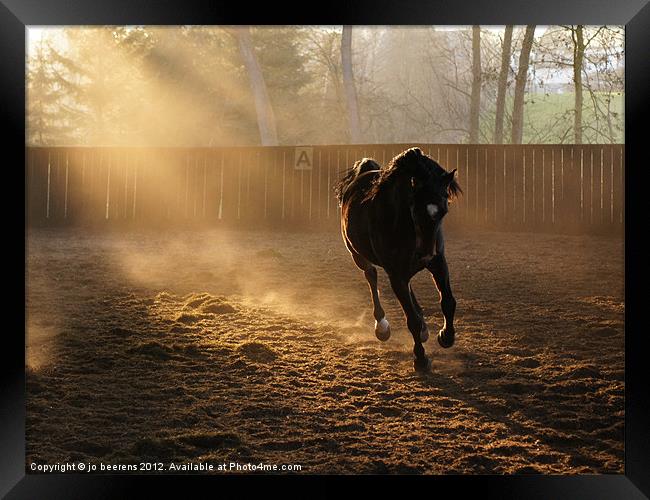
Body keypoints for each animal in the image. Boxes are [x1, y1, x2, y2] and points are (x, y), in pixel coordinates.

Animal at [334, 148, 460, 372]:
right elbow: (411, 320)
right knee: (371, 277)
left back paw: (425, 328)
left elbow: (448, 301)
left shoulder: (438, 263)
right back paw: (382, 326)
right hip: (358, 256)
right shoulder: (395, 274)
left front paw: (446, 336)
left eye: (444, 211)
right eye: (415, 210)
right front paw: (420, 359)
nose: (425, 253)